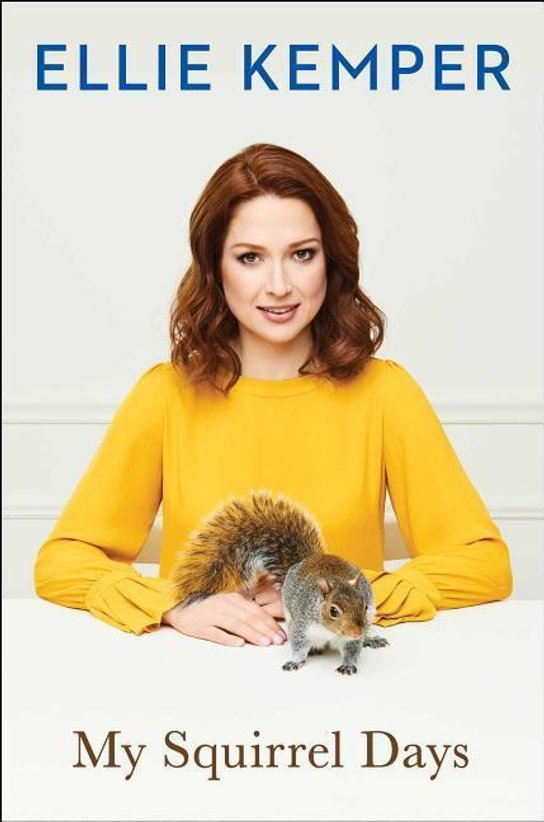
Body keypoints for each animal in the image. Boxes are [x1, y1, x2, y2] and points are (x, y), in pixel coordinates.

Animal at [169, 488, 389, 675]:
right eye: (333, 611)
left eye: (364, 606)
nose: (356, 632)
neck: (329, 632)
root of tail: (307, 560)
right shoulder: (301, 624)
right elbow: (299, 645)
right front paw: (295, 661)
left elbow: (352, 649)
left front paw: (350, 663)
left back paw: (370, 638)